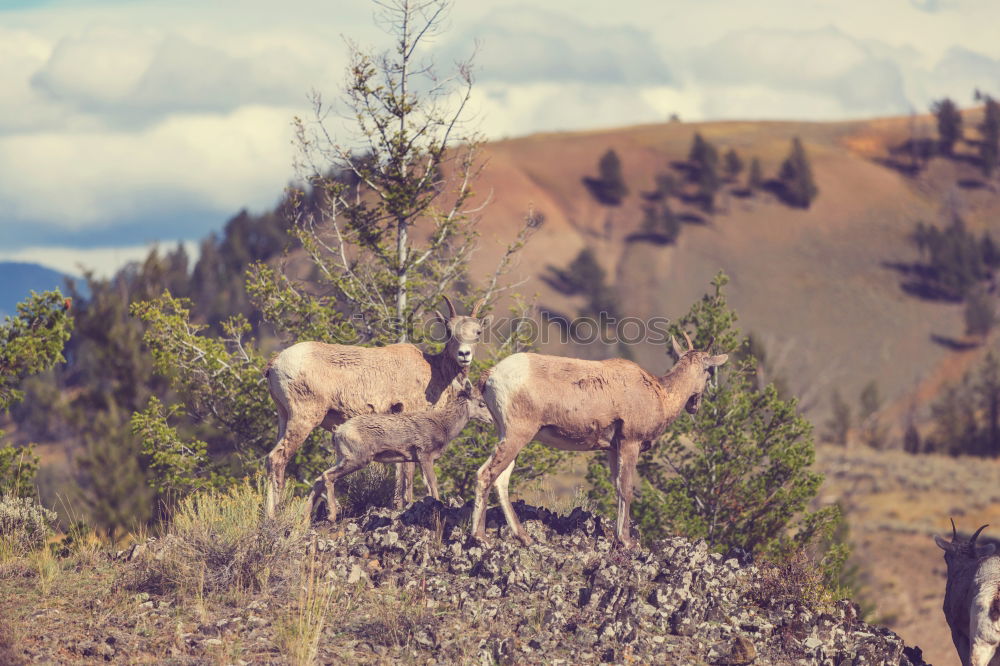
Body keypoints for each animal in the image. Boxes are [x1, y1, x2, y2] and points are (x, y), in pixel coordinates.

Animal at [306, 378, 490, 520]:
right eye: (482, 403)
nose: (490, 418)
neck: (443, 427)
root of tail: (337, 432)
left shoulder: (413, 458)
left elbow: (418, 484)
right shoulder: (425, 452)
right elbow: (433, 482)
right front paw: (438, 506)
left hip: (343, 456)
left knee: (318, 479)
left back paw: (306, 520)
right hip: (357, 457)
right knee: (327, 476)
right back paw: (332, 515)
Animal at [472, 330, 732, 548]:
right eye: (709, 371)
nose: (694, 405)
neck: (660, 394)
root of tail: (490, 376)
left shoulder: (612, 449)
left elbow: (617, 486)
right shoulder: (630, 442)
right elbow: (626, 488)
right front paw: (626, 541)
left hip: (507, 433)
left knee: (501, 479)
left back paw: (524, 537)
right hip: (517, 433)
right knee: (486, 474)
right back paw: (480, 537)